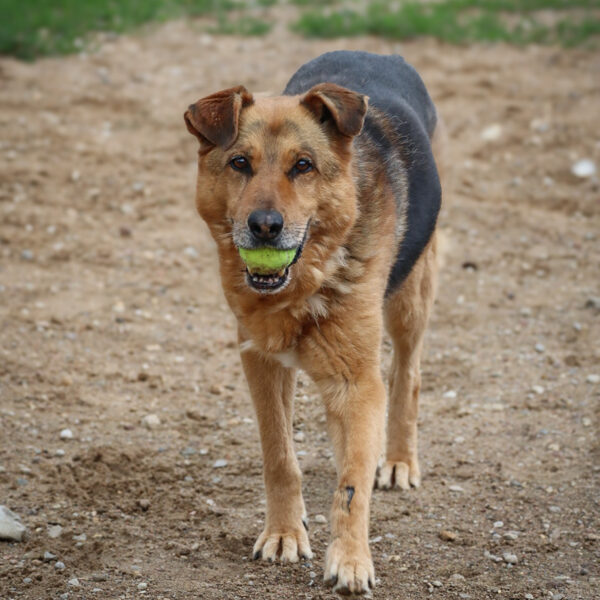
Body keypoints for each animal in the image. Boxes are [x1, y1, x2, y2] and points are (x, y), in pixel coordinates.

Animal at [184, 51, 442, 595]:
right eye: (240, 163)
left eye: (302, 166)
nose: (264, 226)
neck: (304, 284)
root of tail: (383, 54)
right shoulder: (262, 365)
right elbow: (280, 457)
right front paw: (284, 532)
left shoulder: (357, 384)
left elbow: (351, 485)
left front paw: (351, 560)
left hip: (410, 299)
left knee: (407, 374)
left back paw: (399, 459)